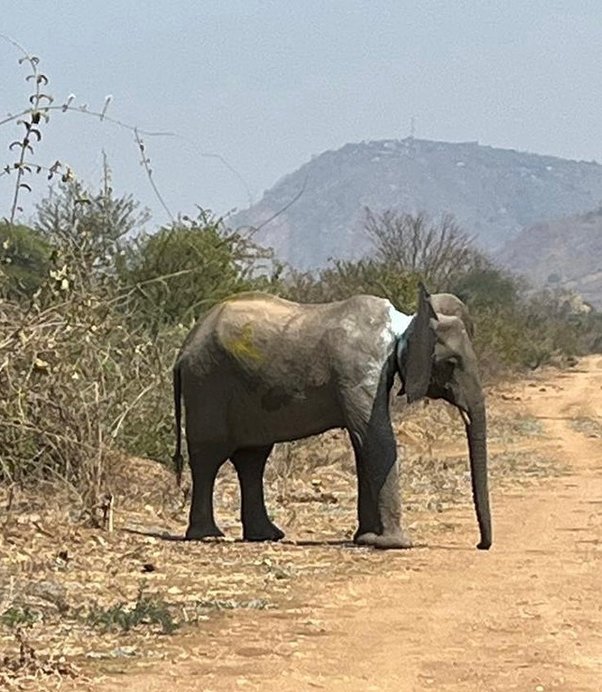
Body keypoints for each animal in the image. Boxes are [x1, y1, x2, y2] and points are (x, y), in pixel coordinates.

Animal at [172, 285, 491, 550]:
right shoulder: (358, 369)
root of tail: (184, 348)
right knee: (209, 455)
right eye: (451, 363)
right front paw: (394, 544)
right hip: (206, 381)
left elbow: (364, 443)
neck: (404, 325)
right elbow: (376, 440)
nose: (479, 545)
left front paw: (366, 539)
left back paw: (266, 535)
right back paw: (208, 536)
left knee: (252, 458)